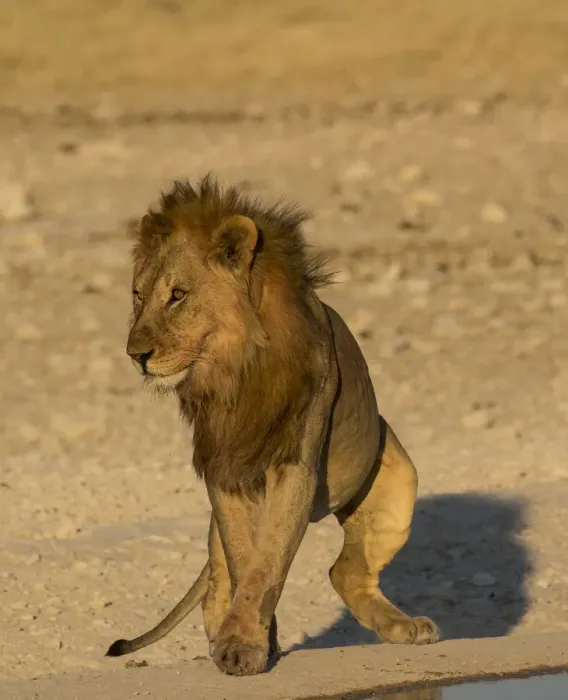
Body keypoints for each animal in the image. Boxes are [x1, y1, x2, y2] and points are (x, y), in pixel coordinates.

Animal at [105, 175, 440, 676]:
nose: (135, 354)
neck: (235, 370)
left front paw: (245, 645)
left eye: (177, 295)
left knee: (344, 572)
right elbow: (247, 561)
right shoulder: (223, 468)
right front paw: (248, 643)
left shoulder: (296, 465)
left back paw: (407, 627)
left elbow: (268, 563)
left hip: (400, 485)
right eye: (138, 296)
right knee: (221, 578)